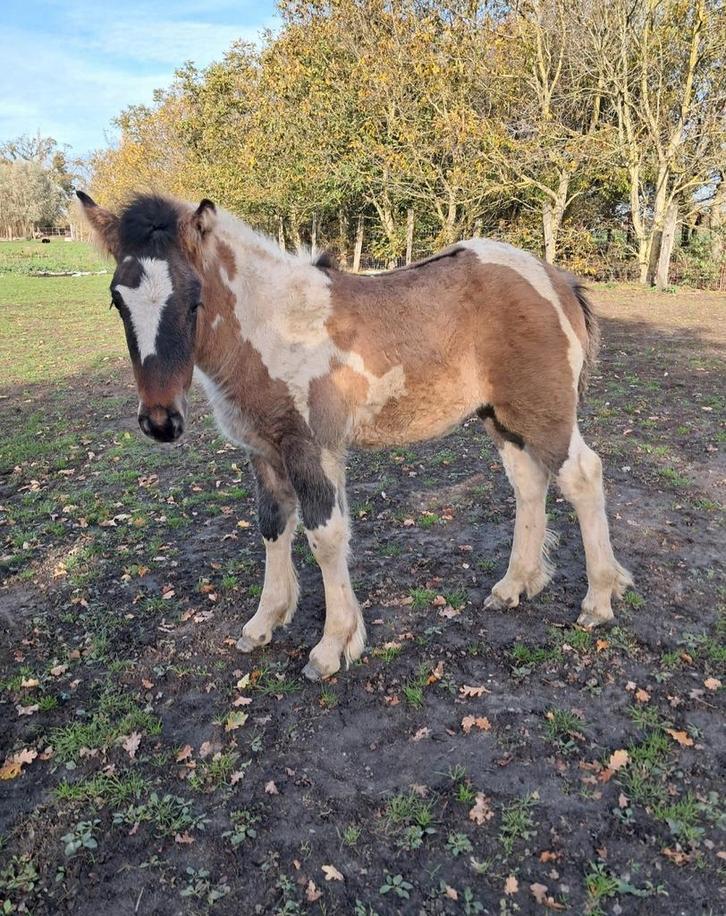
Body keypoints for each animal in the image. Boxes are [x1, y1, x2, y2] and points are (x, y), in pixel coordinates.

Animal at [77, 191, 632, 681]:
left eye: (194, 300)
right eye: (116, 301)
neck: (273, 327)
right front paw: (264, 622)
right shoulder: (264, 451)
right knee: (528, 485)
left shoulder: (312, 447)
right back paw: (515, 585)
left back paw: (599, 599)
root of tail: (556, 279)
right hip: (503, 418)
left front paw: (331, 646)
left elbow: (326, 537)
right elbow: (273, 527)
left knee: (582, 476)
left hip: (544, 411)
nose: (161, 421)